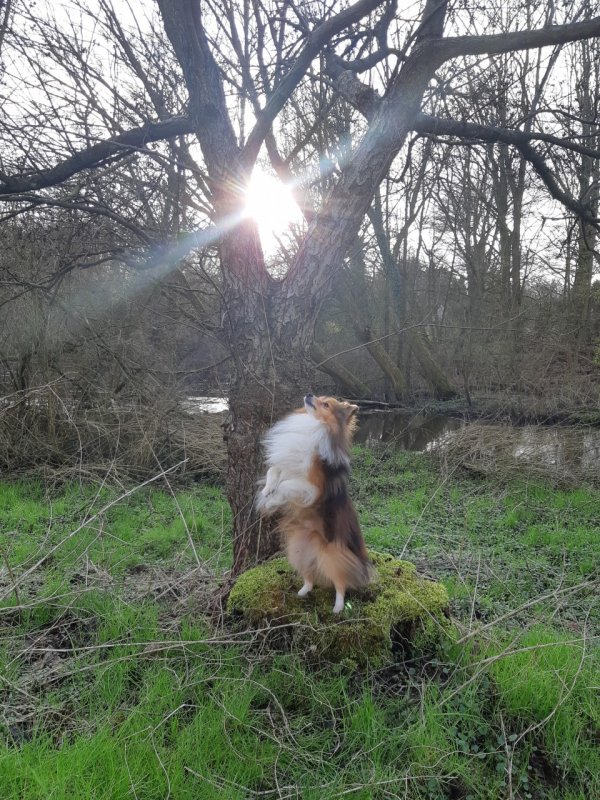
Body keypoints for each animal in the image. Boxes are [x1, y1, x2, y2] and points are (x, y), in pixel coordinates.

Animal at [256, 392, 374, 614]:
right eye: (320, 396)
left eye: (326, 404)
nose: (309, 394)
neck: (313, 426)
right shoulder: (286, 466)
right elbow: (273, 471)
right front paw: (267, 491)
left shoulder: (311, 487)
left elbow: (285, 485)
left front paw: (273, 498)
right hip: (298, 552)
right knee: (309, 576)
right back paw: (303, 591)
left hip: (332, 558)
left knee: (340, 584)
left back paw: (338, 607)